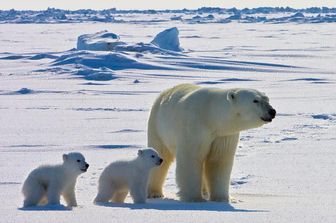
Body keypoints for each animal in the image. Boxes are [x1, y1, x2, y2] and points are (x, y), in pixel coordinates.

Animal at [147, 83, 276, 202]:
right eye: (255, 100)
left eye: (267, 99)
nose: (272, 111)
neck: (211, 116)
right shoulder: (194, 127)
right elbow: (191, 159)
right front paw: (194, 198)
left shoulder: (223, 135)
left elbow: (219, 161)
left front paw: (222, 199)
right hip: (157, 126)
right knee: (160, 154)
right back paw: (154, 193)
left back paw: (204, 192)